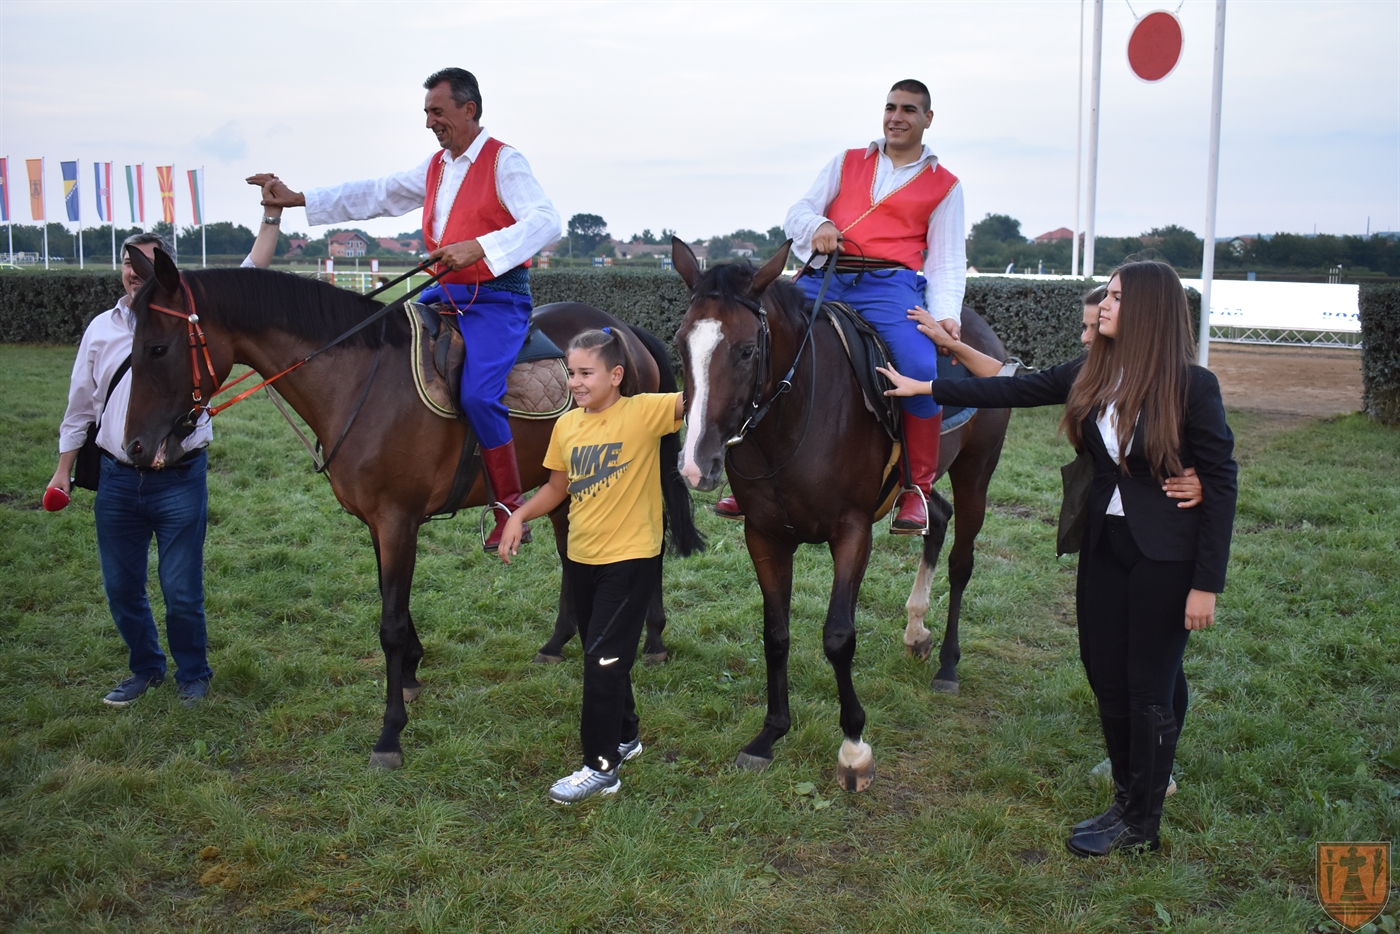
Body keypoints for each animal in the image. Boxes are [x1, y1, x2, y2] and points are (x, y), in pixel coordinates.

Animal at [119, 246, 702, 769]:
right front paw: (413, 674)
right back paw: (559, 641)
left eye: (157, 349)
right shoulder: (379, 525)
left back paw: (652, 638)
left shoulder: (398, 519)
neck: (361, 380)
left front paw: (390, 733)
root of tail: (624, 330)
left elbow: (391, 625)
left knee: (649, 545)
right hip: (564, 480)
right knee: (571, 555)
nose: (135, 448)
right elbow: (391, 602)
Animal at [671, 238, 1011, 790]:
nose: (695, 464)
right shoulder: (763, 535)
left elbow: (838, 637)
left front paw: (854, 747)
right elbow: (775, 634)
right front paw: (770, 734)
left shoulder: (852, 532)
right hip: (922, 485)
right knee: (934, 516)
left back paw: (947, 665)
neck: (791, 421)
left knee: (962, 562)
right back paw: (916, 628)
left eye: (746, 351)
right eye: (681, 347)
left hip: (975, 475)